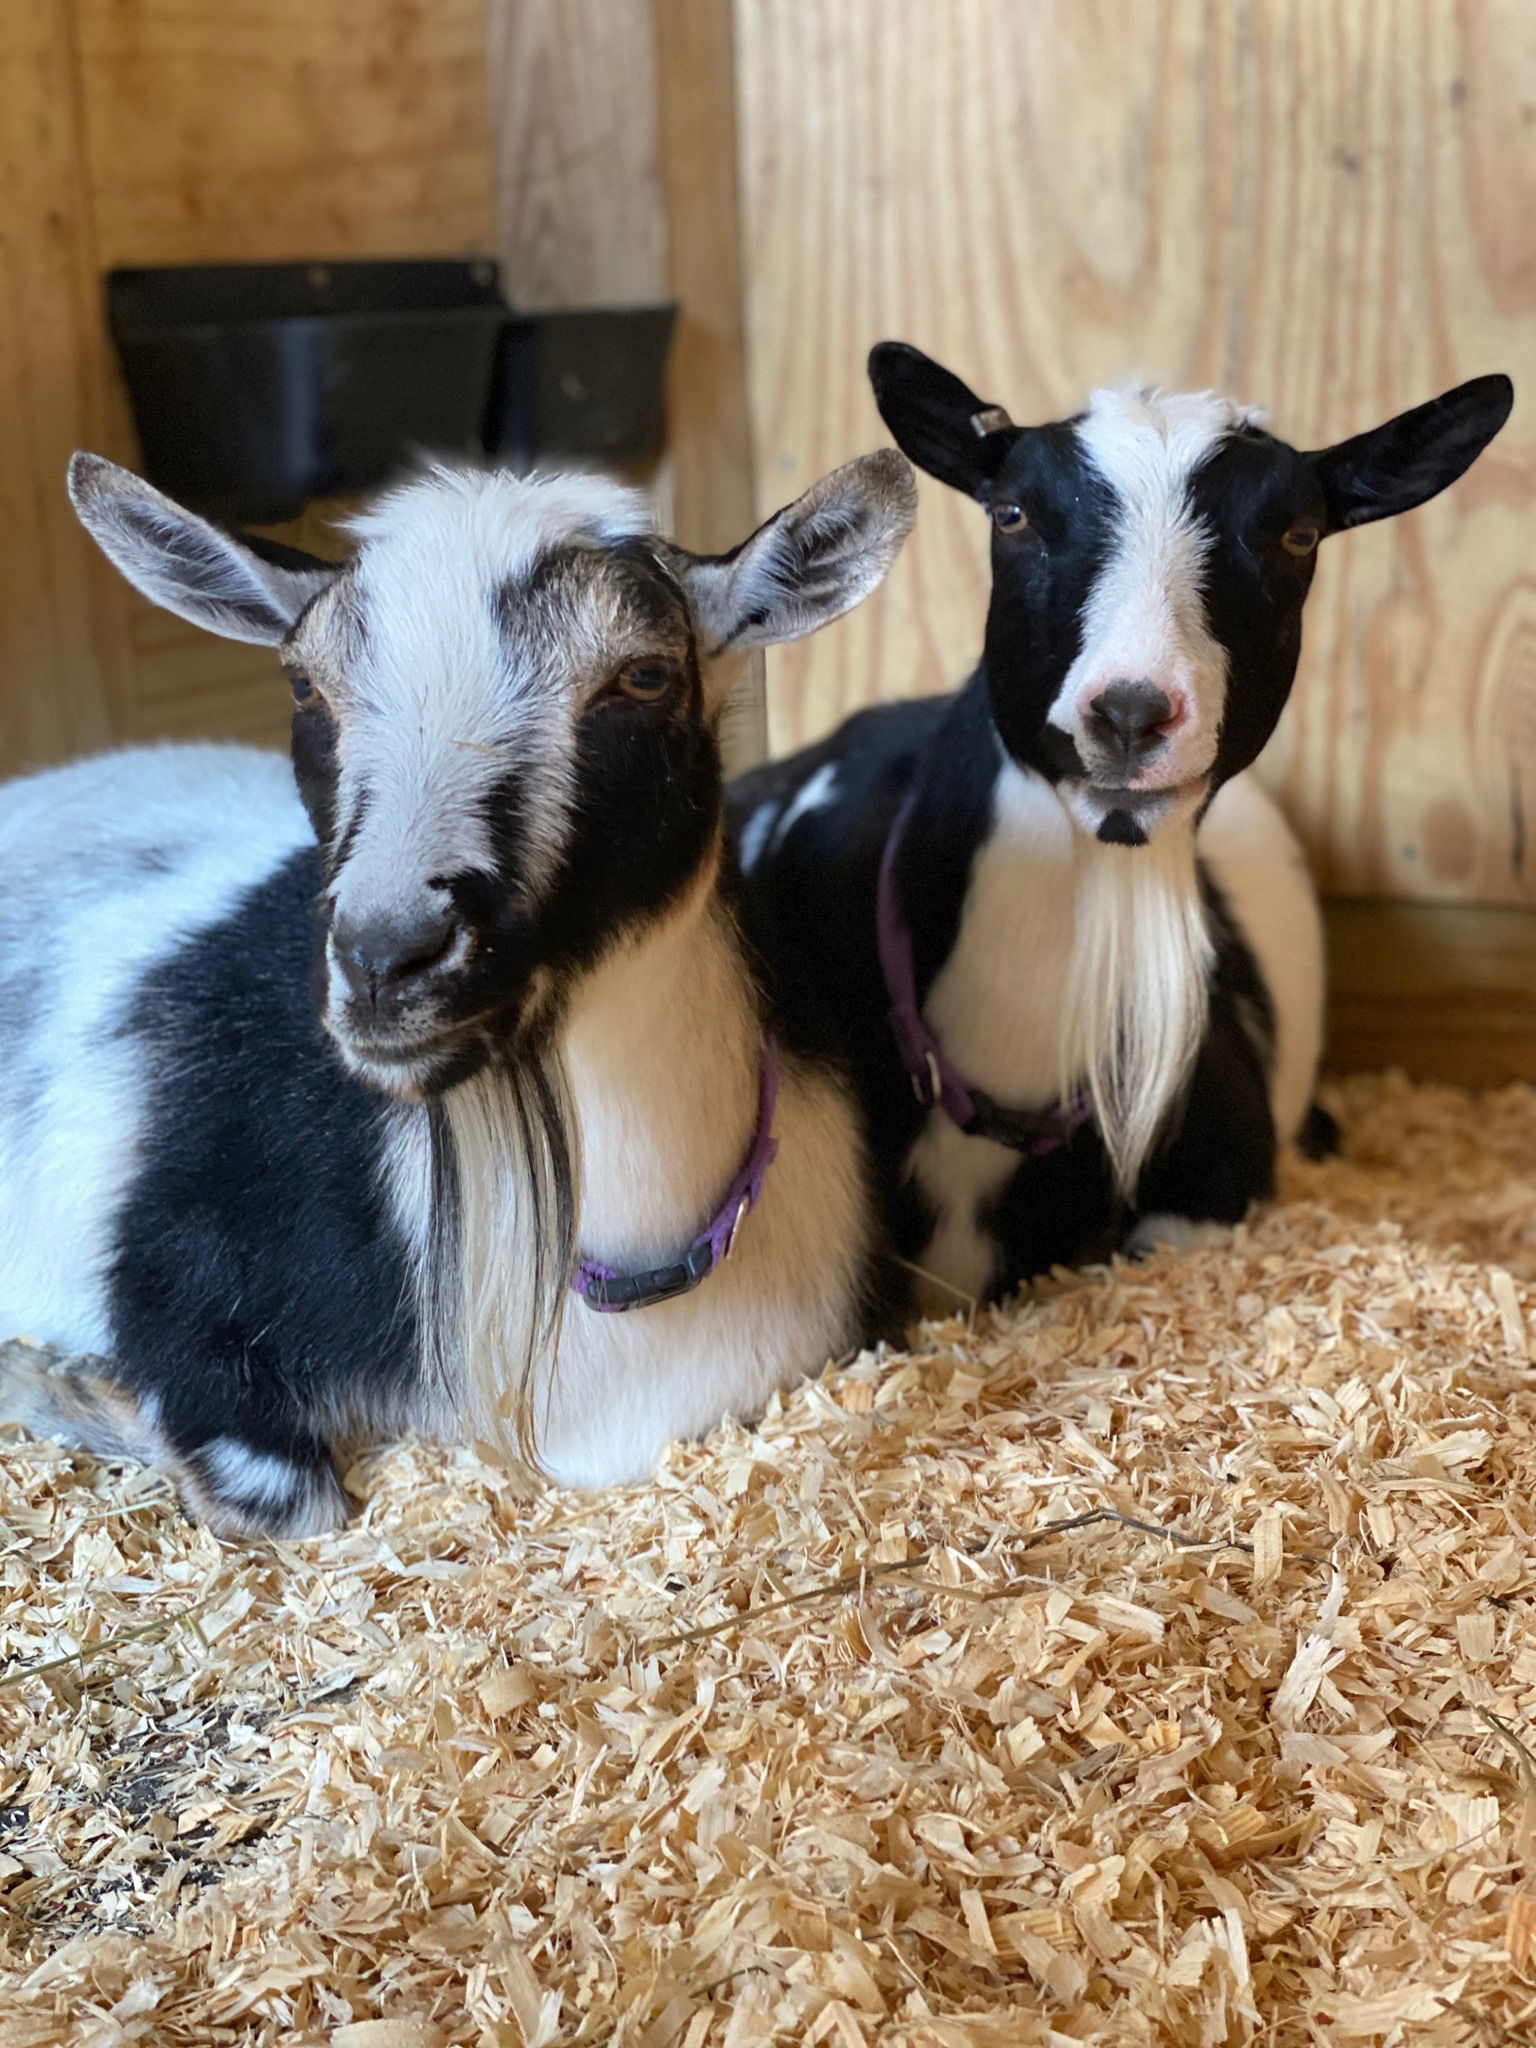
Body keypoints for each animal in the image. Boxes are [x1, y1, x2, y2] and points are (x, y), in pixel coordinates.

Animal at [0, 452, 913, 1540]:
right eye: (305, 683)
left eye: (644, 675)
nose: (386, 959)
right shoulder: (177, 1259)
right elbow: (295, 1498)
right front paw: (60, 1380)